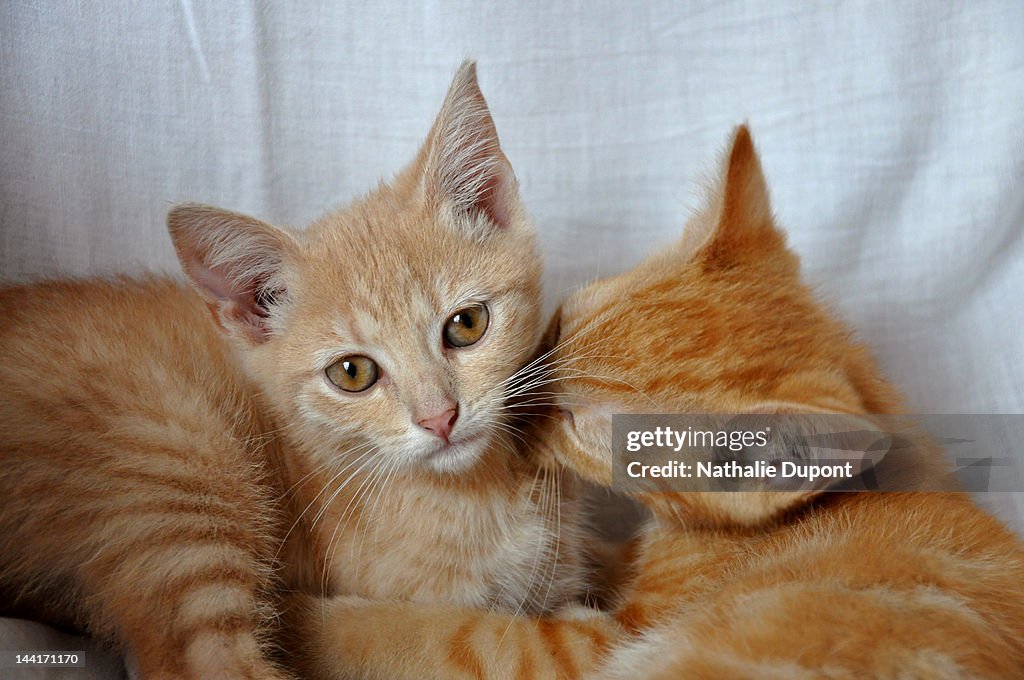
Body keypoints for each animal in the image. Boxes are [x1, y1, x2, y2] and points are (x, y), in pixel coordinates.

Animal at [0, 61, 589, 675]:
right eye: (352, 373)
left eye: (467, 324)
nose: (440, 418)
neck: (478, 490)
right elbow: (479, 638)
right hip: (180, 466)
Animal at [296, 124, 1024, 675]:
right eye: (556, 332)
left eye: (582, 425)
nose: (511, 420)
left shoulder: (600, 642)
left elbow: (454, 634)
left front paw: (313, 621)